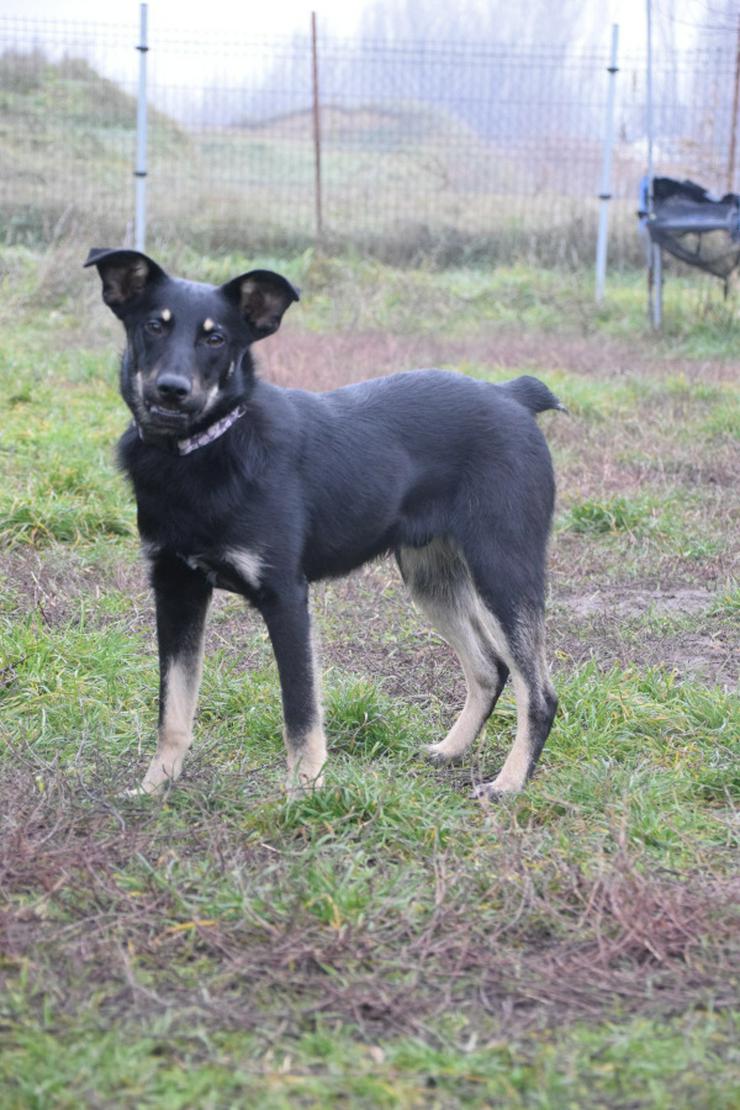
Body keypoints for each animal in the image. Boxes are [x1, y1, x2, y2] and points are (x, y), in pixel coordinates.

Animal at [85, 248, 561, 799]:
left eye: (215, 338)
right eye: (153, 326)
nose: (171, 391)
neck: (200, 450)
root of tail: (513, 395)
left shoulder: (286, 597)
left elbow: (300, 714)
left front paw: (302, 796)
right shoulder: (175, 588)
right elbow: (173, 709)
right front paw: (154, 788)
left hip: (502, 569)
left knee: (538, 692)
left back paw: (509, 784)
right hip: (430, 577)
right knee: (489, 668)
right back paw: (450, 750)